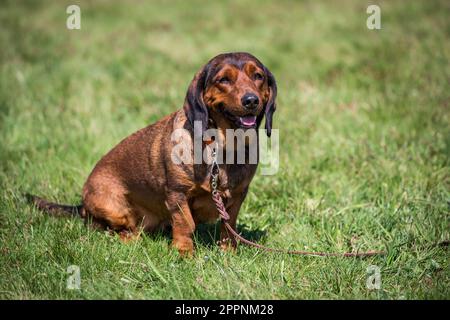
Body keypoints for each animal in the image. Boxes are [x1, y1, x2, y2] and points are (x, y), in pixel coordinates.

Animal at [29, 52, 278, 255]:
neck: (223, 148)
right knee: (110, 229)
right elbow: (185, 224)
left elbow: (229, 225)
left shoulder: (238, 195)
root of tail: (82, 206)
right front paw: (184, 253)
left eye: (258, 76)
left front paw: (228, 253)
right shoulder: (177, 194)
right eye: (224, 80)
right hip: (114, 207)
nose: (251, 100)